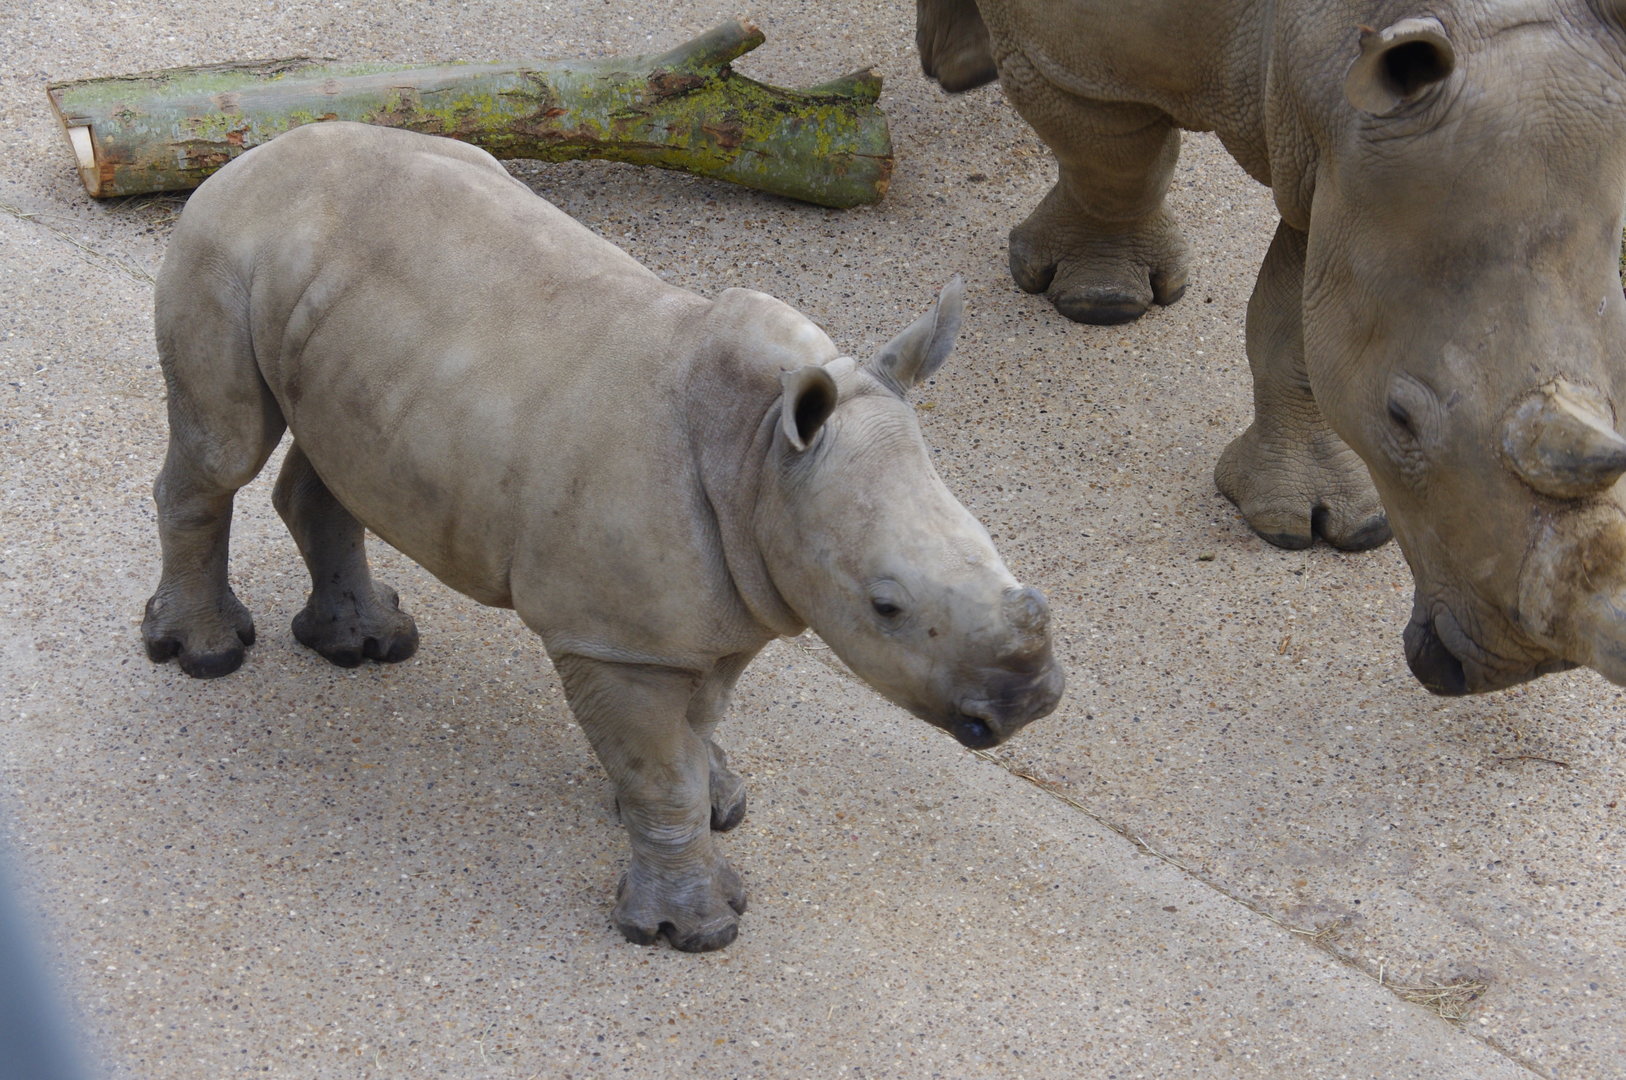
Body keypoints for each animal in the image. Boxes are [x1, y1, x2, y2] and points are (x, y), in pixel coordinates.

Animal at [140, 121, 1064, 951]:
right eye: (886, 606)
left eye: (991, 548)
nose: (1032, 700)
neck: (760, 458)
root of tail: (259, 148)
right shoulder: (613, 639)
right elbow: (661, 773)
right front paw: (693, 929)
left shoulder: (728, 597)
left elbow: (696, 730)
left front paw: (718, 806)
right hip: (225, 243)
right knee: (223, 449)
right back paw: (206, 654)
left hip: (336, 306)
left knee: (336, 455)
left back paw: (368, 643)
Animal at [917, 0, 1626, 694]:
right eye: (1399, 418)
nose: (1532, 667)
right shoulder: (1068, 56)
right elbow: (1115, 154)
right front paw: (1101, 303)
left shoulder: (1340, 162)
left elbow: (1298, 323)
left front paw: (1326, 525)